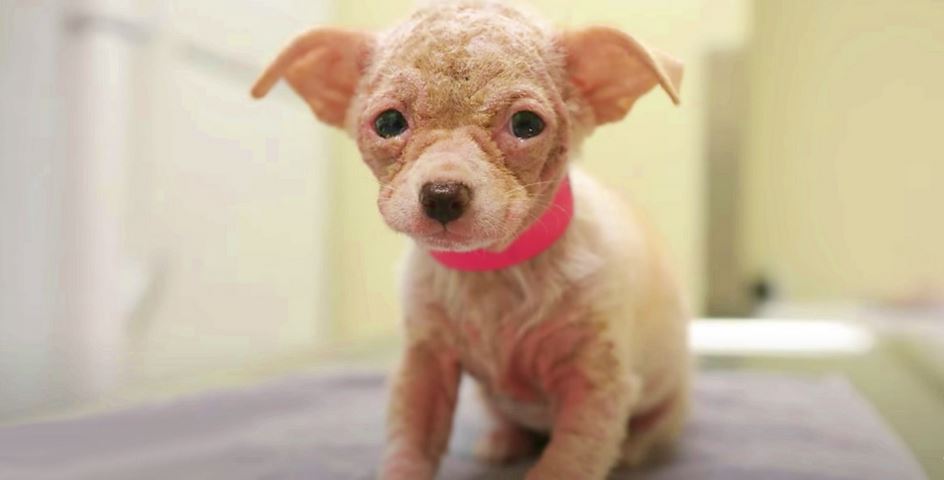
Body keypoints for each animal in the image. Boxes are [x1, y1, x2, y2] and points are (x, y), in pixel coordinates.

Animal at [254, 0, 688, 480]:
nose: (442, 195)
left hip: (665, 400)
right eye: (389, 123)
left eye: (526, 124)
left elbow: (564, 460)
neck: (489, 271)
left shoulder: (595, 384)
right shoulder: (424, 365)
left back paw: (634, 451)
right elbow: (410, 445)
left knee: (653, 428)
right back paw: (503, 440)